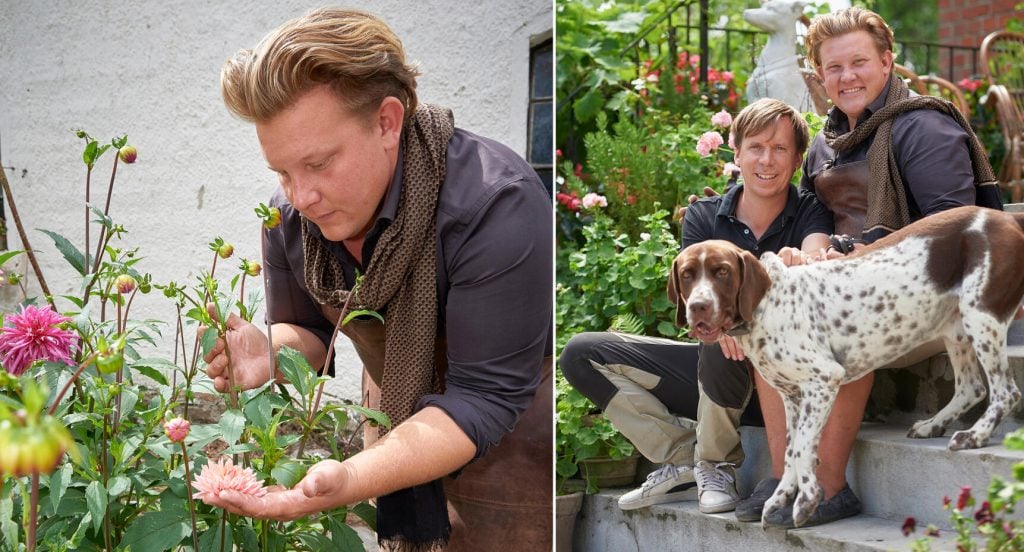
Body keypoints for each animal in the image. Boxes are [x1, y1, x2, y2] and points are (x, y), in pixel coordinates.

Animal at [667, 205, 1019, 528]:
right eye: (687, 275)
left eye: (722, 272)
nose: (699, 307)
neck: (766, 304)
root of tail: (1006, 217)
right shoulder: (792, 396)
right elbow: (790, 450)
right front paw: (780, 498)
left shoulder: (823, 381)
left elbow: (802, 448)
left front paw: (807, 500)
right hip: (955, 327)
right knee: (972, 387)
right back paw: (933, 425)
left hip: (981, 315)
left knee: (1007, 393)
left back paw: (974, 435)